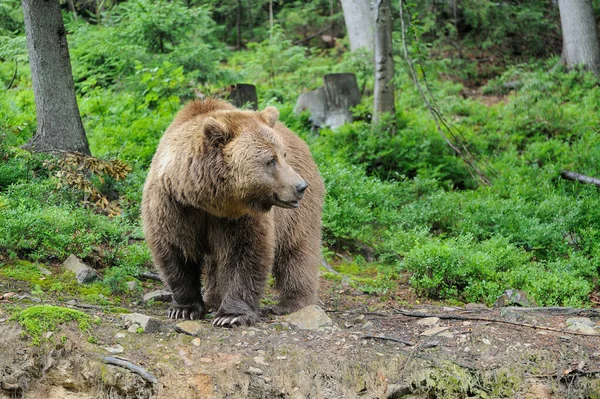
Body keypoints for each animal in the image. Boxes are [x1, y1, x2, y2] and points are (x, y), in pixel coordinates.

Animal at [141, 98, 324, 326]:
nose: (300, 187)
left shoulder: (241, 217)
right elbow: (176, 251)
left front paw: (231, 315)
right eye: (271, 160)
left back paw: (292, 302)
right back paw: (213, 300)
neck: (208, 200)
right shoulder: (174, 206)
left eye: (283, 155)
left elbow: (245, 254)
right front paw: (184, 308)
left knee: (297, 250)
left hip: (299, 213)